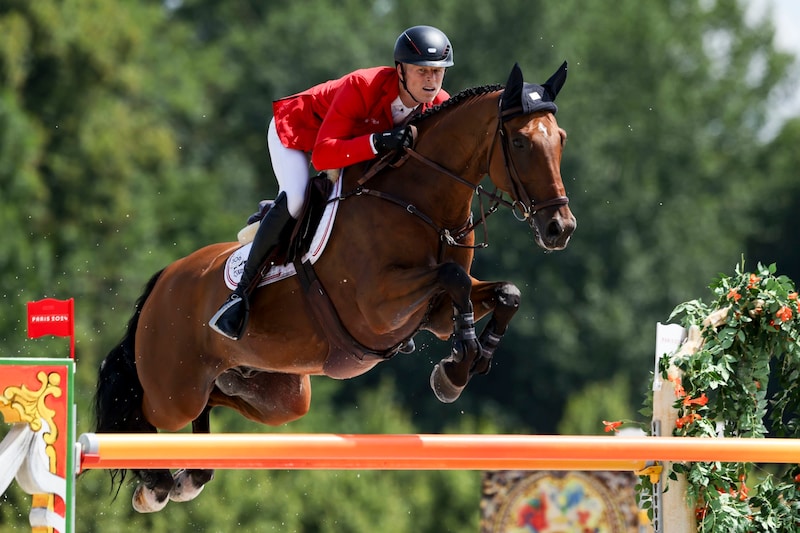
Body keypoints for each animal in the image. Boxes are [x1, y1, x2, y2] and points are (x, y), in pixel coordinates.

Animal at [94, 62, 576, 512]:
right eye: (520, 143)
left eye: (561, 139)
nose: (560, 229)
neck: (419, 203)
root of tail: (165, 279)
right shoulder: (380, 307)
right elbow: (452, 278)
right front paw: (460, 363)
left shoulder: (435, 313)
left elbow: (505, 293)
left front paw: (463, 364)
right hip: (174, 392)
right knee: (142, 409)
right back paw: (155, 482)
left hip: (282, 397)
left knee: (216, 399)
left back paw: (190, 474)